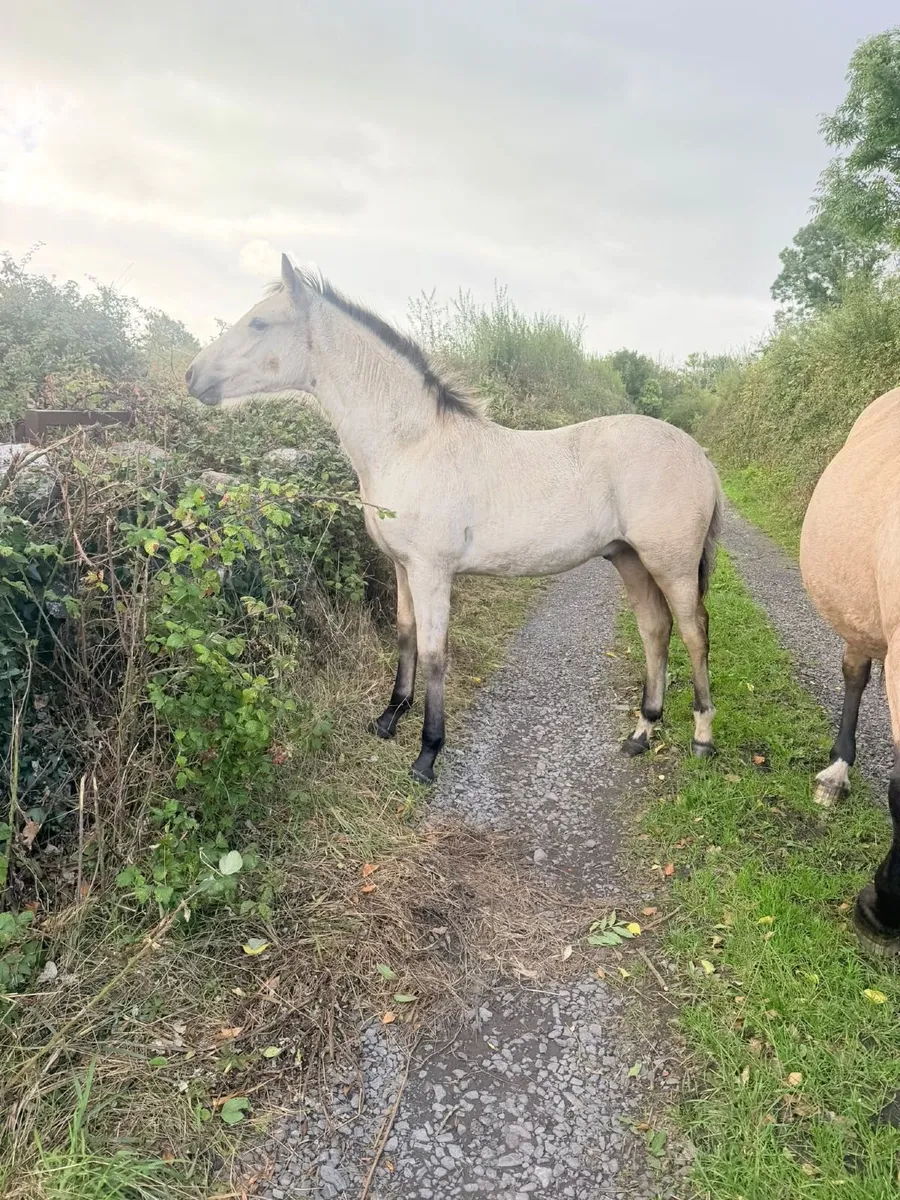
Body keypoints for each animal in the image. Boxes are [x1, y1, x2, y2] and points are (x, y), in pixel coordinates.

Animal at [185, 254, 724, 784]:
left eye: (259, 323)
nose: (192, 376)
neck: (411, 446)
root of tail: (700, 456)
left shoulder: (432, 571)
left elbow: (434, 652)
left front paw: (427, 754)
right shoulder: (402, 567)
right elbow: (405, 635)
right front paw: (388, 718)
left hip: (671, 564)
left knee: (694, 631)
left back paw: (701, 739)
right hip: (629, 558)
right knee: (655, 629)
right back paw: (641, 732)